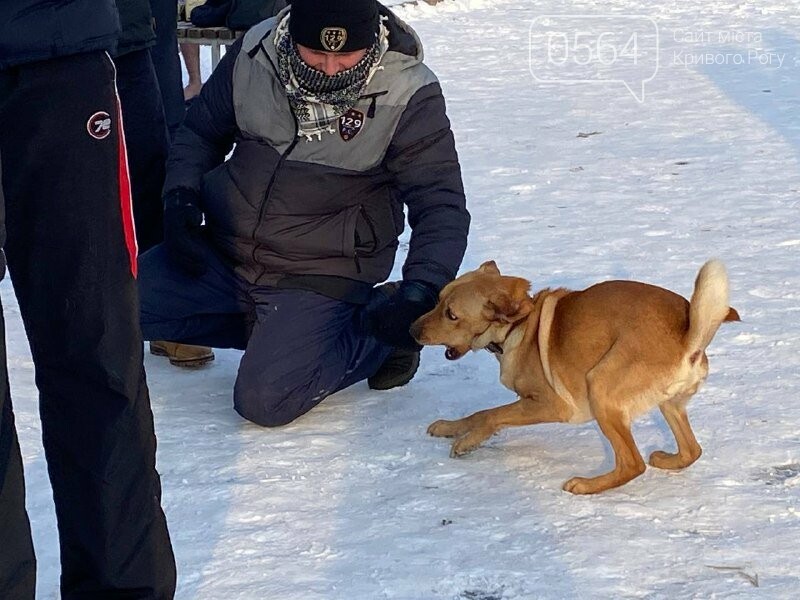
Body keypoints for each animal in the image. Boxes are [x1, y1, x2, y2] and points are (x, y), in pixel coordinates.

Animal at [410, 260, 740, 494]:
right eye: (438, 300)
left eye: (452, 315)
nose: (412, 330)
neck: (518, 327)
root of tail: (690, 339)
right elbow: (479, 414)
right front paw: (449, 427)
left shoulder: (551, 405)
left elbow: (490, 415)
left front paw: (467, 442)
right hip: (669, 404)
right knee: (692, 450)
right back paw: (666, 459)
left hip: (601, 388)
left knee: (632, 463)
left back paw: (585, 485)